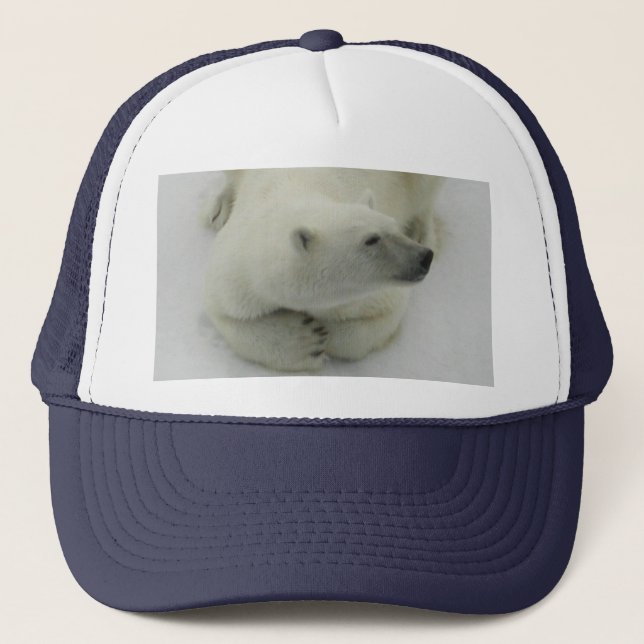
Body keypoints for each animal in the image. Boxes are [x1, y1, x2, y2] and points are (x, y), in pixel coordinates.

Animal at [200, 167, 439, 372]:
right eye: (371, 240)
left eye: (393, 226)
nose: (424, 258)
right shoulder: (240, 272)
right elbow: (223, 315)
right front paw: (305, 339)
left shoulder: (371, 295)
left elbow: (384, 316)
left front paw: (322, 332)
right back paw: (220, 208)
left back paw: (422, 230)